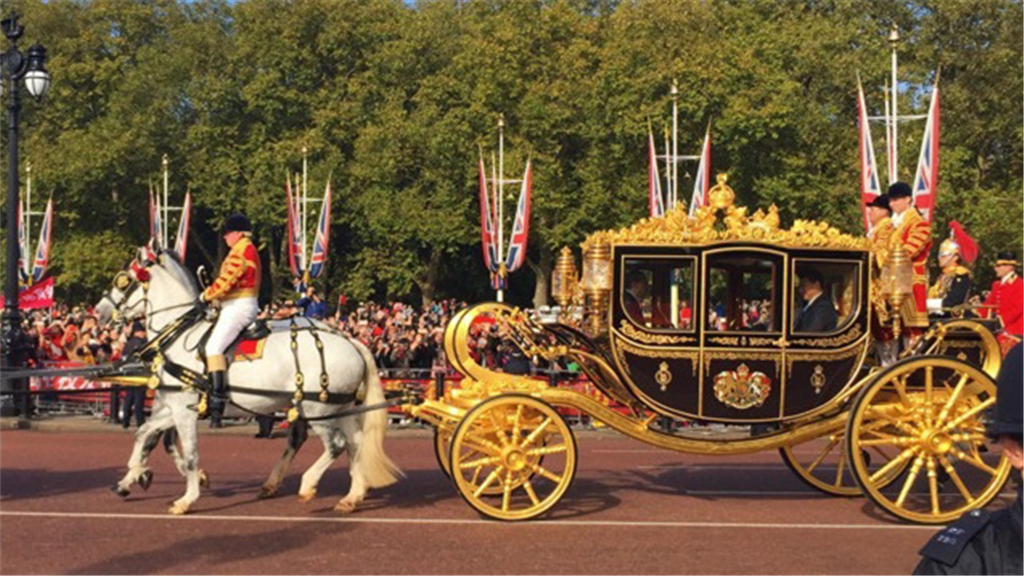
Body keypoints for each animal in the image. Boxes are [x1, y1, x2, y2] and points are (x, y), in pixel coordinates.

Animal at [96, 247, 399, 510]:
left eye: (123, 280)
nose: (99, 312)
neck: (180, 336)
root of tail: (350, 341)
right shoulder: (171, 406)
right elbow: (145, 434)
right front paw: (132, 477)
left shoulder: (183, 409)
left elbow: (189, 453)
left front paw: (186, 498)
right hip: (339, 407)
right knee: (354, 442)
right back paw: (352, 495)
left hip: (317, 408)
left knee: (336, 444)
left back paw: (308, 484)